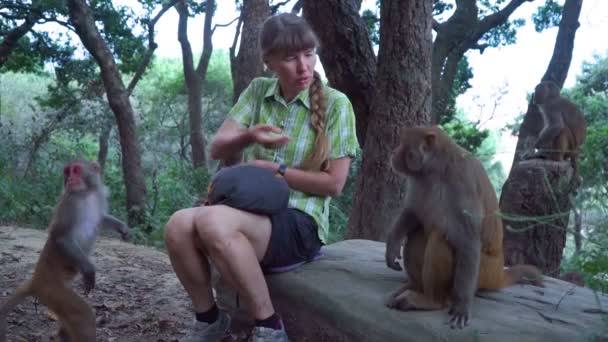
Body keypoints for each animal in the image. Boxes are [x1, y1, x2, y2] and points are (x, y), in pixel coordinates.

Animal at [0, 160, 132, 342]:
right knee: (82, 315)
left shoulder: (99, 197)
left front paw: (122, 228)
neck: (85, 194)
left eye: (75, 170)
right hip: (52, 291)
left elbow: (101, 219)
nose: (70, 178)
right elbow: (61, 237)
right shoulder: (69, 203)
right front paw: (89, 269)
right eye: (67, 172)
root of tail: (36, 281)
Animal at [384, 125, 540, 328]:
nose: (394, 152)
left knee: (439, 237)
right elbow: (413, 214)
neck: (435, 170)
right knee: (418, 233)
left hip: (483, 272)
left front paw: (462, 305)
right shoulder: (419, 180)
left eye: (403, 144)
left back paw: (432, 300)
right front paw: (392, 244)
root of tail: (498, 271)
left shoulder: (462, 183)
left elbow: (468, 242)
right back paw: (414, 287)